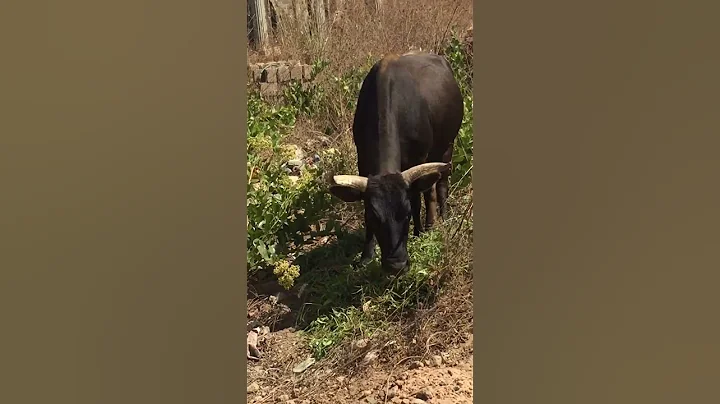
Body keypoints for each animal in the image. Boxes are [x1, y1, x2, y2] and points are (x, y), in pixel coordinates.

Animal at [328, 52, 464, 272]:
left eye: (406, 214)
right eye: (374, 216)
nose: (396, 265)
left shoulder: (417, 159)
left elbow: (417, 200)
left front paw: (418, 233)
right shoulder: (363, 161)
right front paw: (366, 256)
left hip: (446, 146)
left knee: (440, 185)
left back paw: (439, 220)